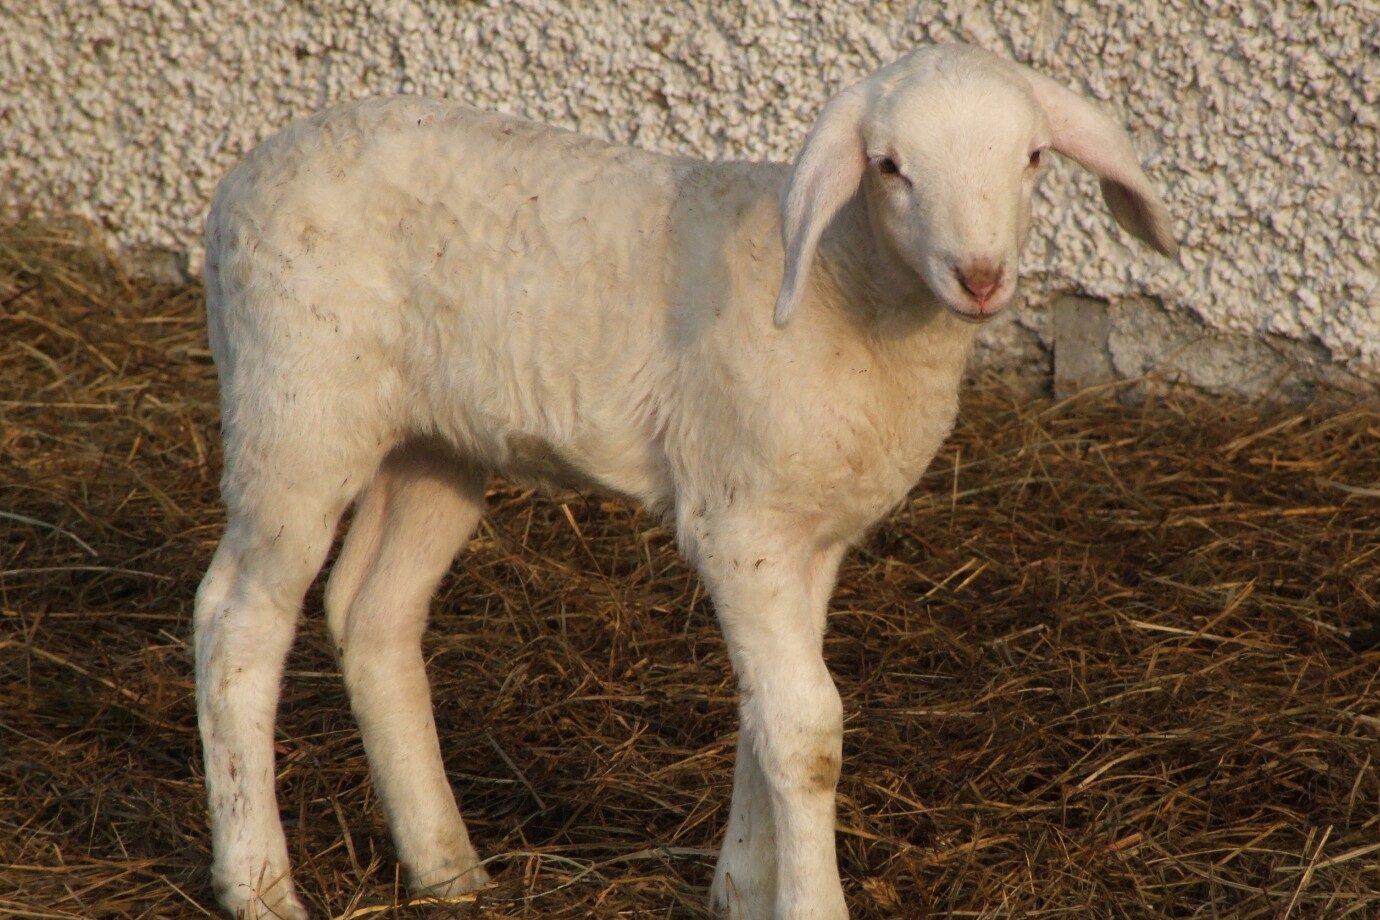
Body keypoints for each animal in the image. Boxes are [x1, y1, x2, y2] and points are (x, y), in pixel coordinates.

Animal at [193, 42, 1175, 920]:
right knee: (235, 620)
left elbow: (764, 714)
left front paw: (740, 888)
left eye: (1034, 157)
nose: (980, 277)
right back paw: (260, 887)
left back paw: (447, 869)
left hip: (433, 446)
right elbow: (808, 728)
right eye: (890, 167)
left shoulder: (808, 538)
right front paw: (809, 903)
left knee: (373, 613)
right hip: (295, 407)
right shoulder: (739, 524)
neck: (841, 288)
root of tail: (236, 181)